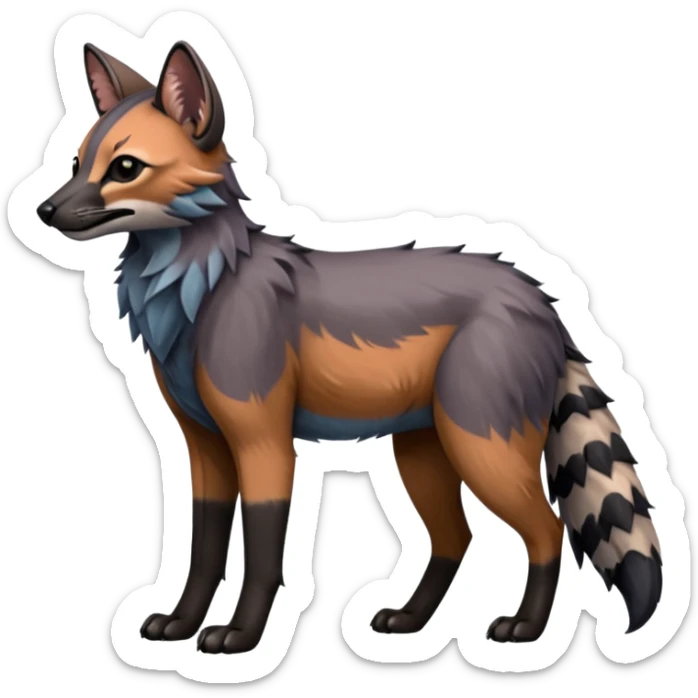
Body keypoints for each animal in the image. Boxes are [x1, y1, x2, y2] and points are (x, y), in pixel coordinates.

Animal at [34, 40, 662, 654]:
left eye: (125, 168)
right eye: (76, 164)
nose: (43, 210)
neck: (201, 290)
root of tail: (538, 298)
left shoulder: (263, 440)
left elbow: (262, 553)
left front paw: (242, 635)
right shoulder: (203, 445)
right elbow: (203, 552)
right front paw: (182, 622)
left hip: (482, 448)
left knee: (546, 530)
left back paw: (526, 628)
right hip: (422, 453)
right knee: (455, 539)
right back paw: (411, 620)